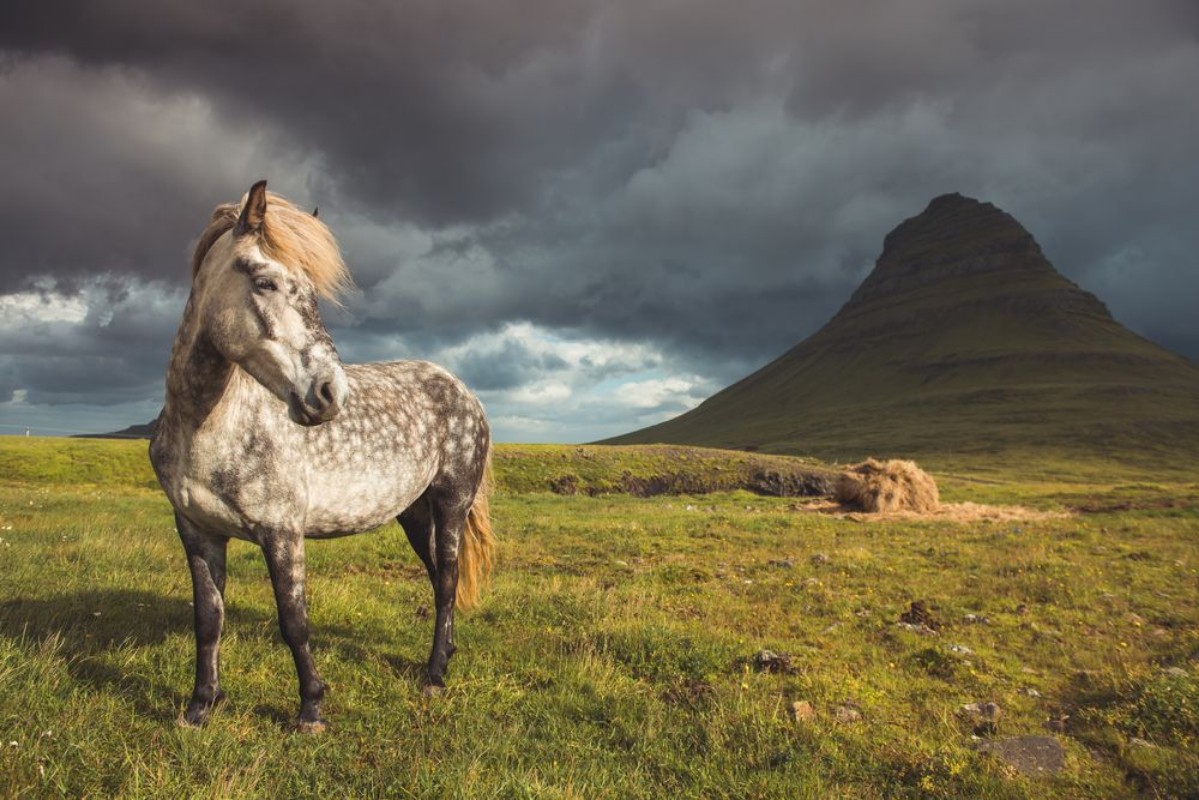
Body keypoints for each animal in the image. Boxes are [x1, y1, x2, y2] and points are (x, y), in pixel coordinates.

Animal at [150, 180, 494, 732]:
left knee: (446, 579)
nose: (331, 394)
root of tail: (462, 390)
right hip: (414, 513)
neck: (208, 426)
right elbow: (208, 620)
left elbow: (294, 620)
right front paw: (201, 705)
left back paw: (435, 674)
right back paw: (443, 657)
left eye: (312, 292)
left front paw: (311, 707)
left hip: (451, 503)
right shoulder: (196, 531)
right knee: (439, 577)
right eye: (265, 282)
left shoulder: (282, 531)